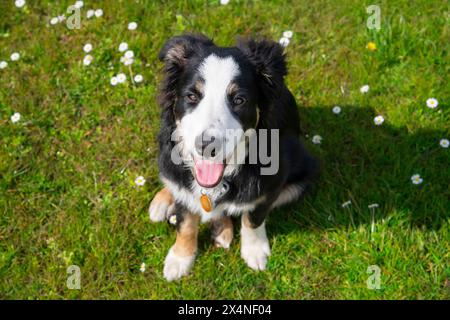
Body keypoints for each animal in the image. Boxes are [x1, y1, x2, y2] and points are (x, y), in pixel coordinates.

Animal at [149, 33, 316, 282]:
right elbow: (186, 222)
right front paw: (180, 258)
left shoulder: (272, 185)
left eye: (239, 100)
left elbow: (253, 217)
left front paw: (254, 251)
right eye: (192, 96)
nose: (206, 146)